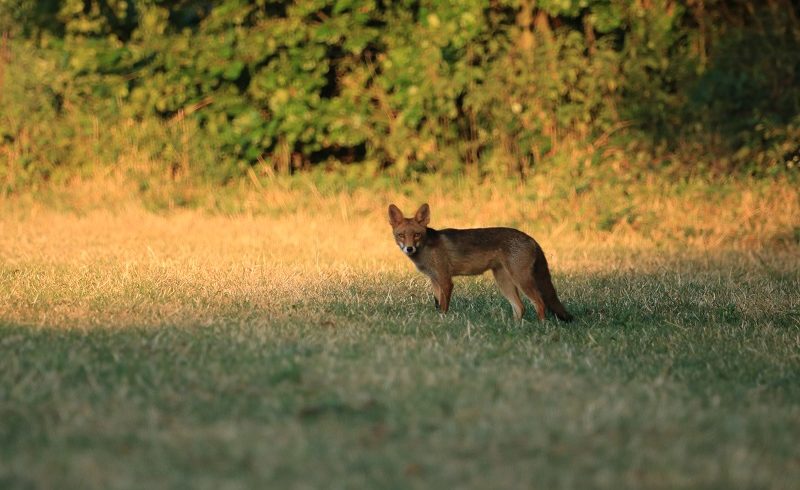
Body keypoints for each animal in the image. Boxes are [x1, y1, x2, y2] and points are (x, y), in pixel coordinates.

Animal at [388, 203, 573, 322]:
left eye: (416, 235)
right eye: (401, 235)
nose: (409, 248)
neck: (427, 249)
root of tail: (531, 238)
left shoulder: (446, 280)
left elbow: (443, 307)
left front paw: (443, 323)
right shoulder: (434, 280)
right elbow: (437, 305)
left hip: (522, 280)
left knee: (540, 304)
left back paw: (541, 327)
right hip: (504, 282)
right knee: (520, 307)